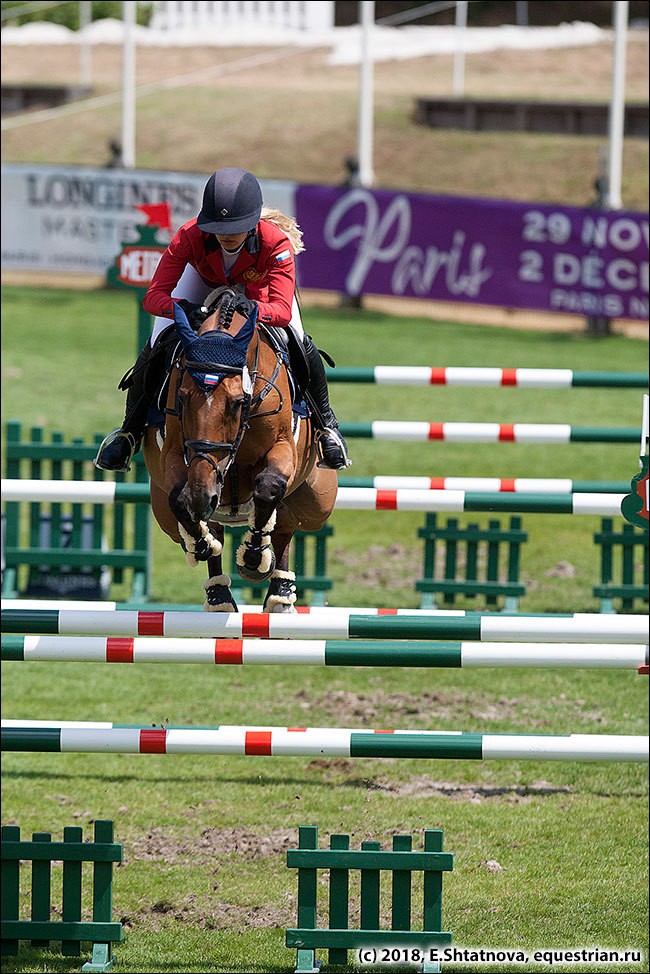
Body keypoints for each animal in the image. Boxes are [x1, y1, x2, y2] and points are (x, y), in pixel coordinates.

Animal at [140, 286, 334, 612]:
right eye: (182, 397)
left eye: (237, 403)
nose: (203, 495)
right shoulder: (176, 454)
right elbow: (180, 500)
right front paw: (201, 543)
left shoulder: (284, 448)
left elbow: (268, 487)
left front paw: (254, 558)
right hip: (165, 511)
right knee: (209, 523)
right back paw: (219, 593)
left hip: (318, 504)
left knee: (286, 522)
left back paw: (279, 589)